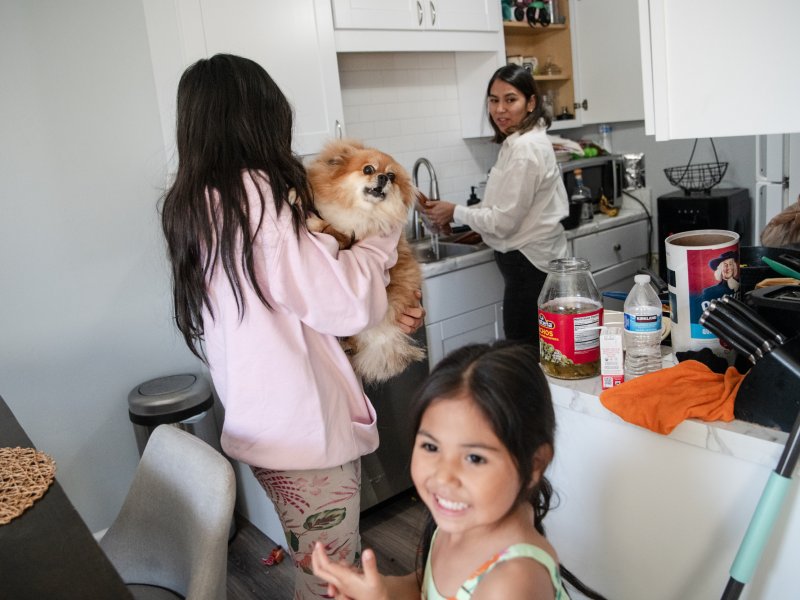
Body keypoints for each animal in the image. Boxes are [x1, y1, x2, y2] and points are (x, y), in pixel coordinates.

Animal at [308, 139, 428, 384]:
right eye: (368, 169)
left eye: (391, 176)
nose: (383, 178)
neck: (357, 209)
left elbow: (339, 235)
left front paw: (316, 223)